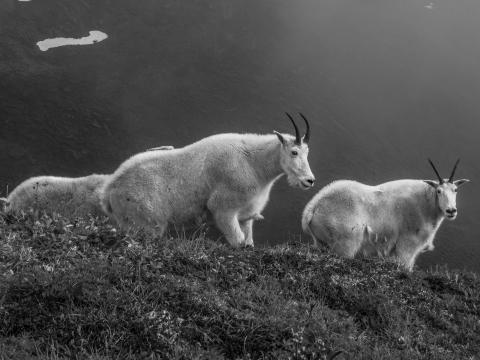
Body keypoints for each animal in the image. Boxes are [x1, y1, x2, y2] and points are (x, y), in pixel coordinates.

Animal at [100, 113, 316, 248]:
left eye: (307, 153)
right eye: (294, 152)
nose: (309, 180)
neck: (255, 163)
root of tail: (109, 191)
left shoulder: (246, 215)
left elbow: (248, 241)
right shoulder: (223, 209)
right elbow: (237, 242)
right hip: (144, 224)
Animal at [304, 160, 468, 270]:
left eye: (455, 190)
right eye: (439, 191)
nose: (451, 210)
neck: (427, 207)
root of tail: (313, 208)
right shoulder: (407, 247)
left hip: (321, 242)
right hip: (345, 242)